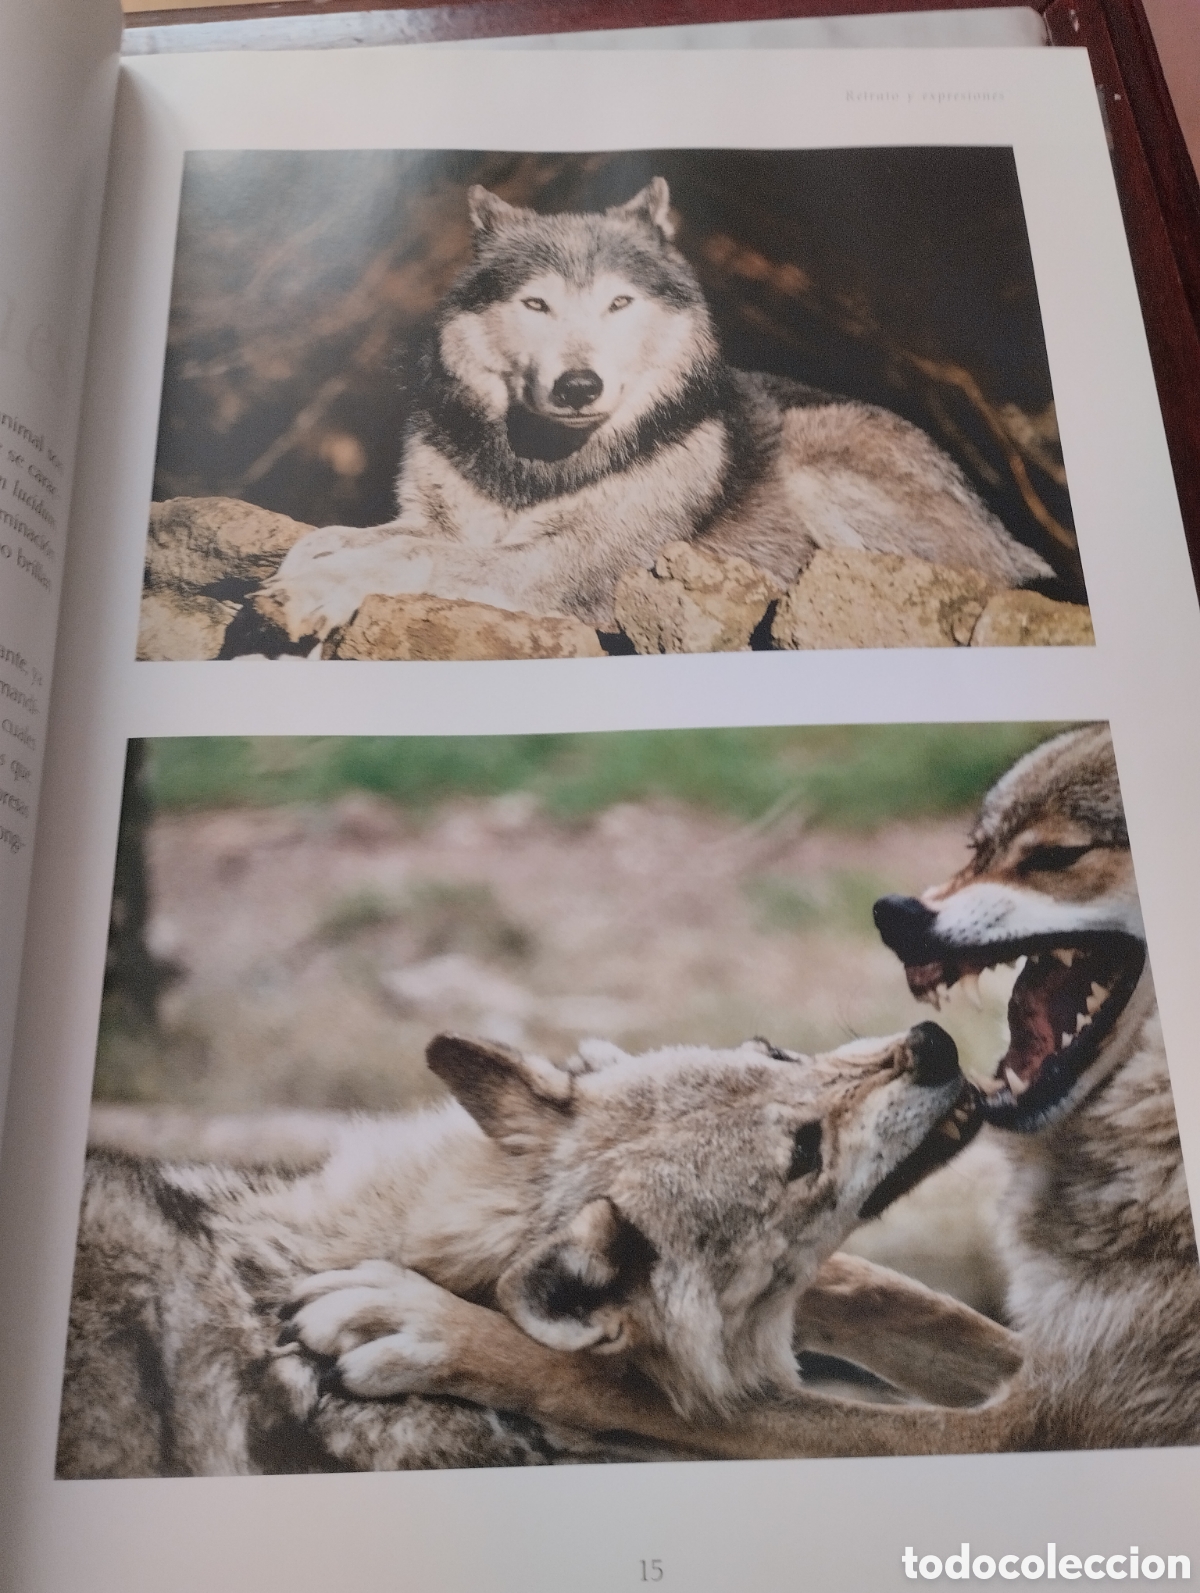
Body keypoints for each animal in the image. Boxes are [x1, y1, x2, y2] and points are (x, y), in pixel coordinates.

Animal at [251, 177, 1051, 648]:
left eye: (618, 302)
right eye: (536, 304)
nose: (579, 385)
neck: (536, 468)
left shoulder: (564, 566)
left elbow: (412, 557)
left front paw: (314, 594)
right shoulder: (434, 519)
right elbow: (334, 538)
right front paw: (303, 571)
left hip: (820, 472)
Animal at [300, 726, 1200, 1459]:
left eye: (1056, 855)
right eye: (979, 848)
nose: (931, 1043)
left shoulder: (1039, 1428)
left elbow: (649, 1391)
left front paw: (435, 1323)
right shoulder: (1042, 1363)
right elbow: (880, 1289)